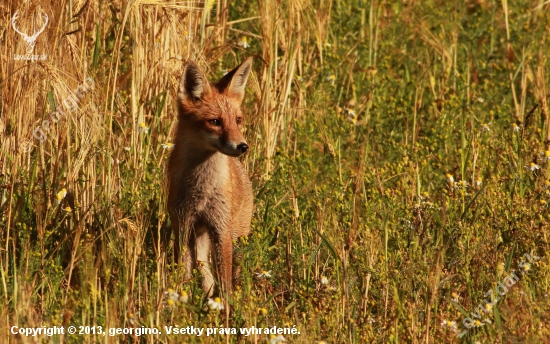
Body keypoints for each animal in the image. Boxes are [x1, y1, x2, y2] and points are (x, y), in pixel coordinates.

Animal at [167, 57, 256, 296]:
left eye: (238, 120)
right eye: (215, 122)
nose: (242, 146)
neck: (202, 189)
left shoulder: (221, 228)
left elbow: (225, 284)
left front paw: (226, 306)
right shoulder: (182, 225)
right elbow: (183, 275)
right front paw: (180, 300)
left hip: (236, 237)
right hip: (198, 237)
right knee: (204, 271)